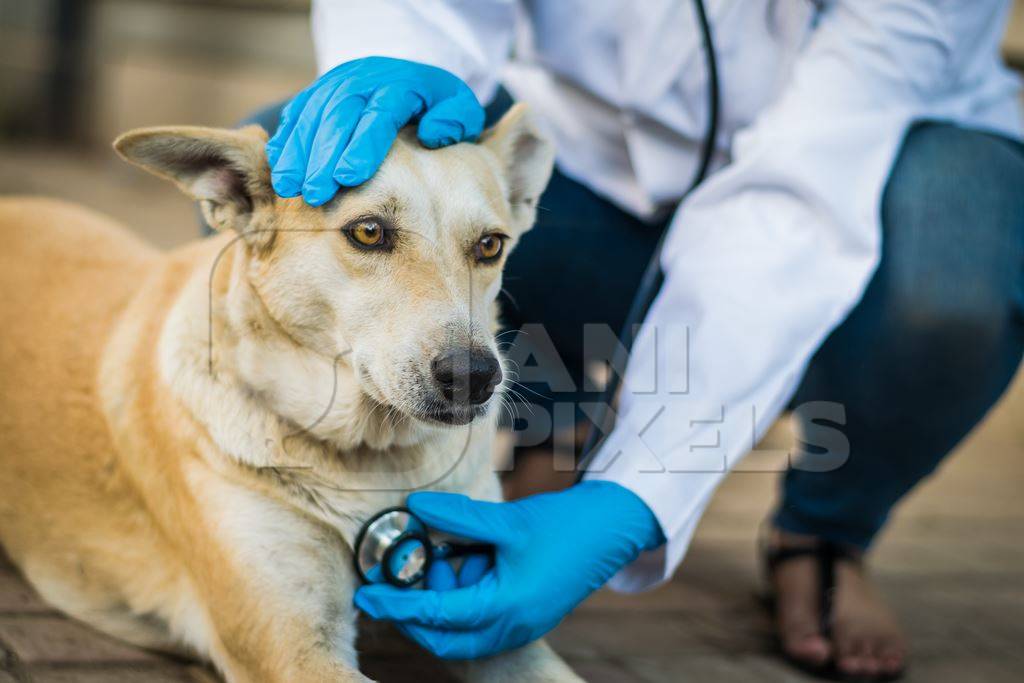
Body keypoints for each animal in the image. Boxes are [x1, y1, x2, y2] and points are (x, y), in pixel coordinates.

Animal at [0, 102, 585, 683]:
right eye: (368, 232)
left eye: (490, 245)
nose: (475, 376)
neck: (377, 461)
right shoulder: (293, 648)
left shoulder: (498, 621)